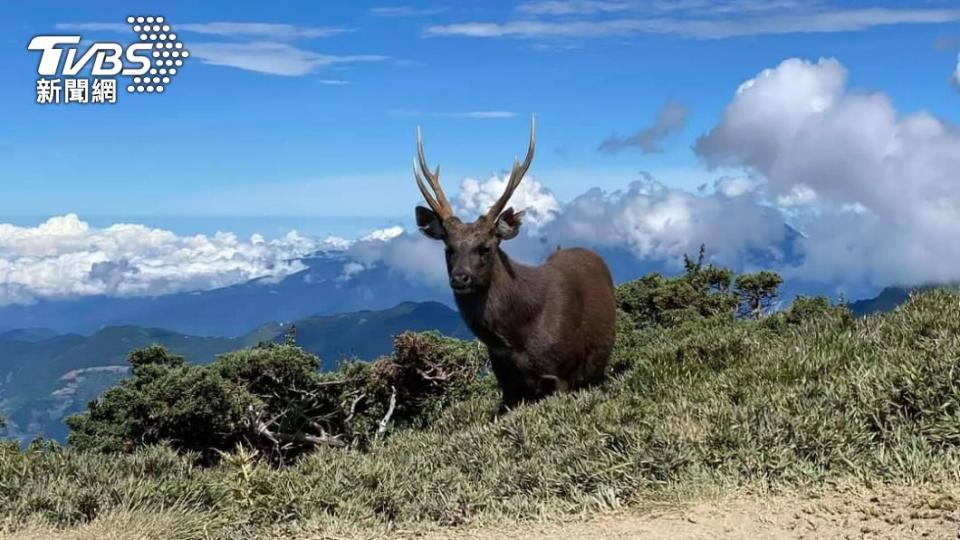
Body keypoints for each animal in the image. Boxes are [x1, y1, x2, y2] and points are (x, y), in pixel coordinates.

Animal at [410, 116, 616, 408]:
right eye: (448, 249)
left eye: (485, 248)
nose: (460, 278)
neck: (516, 338)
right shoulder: (506, 384)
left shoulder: (561, 374)